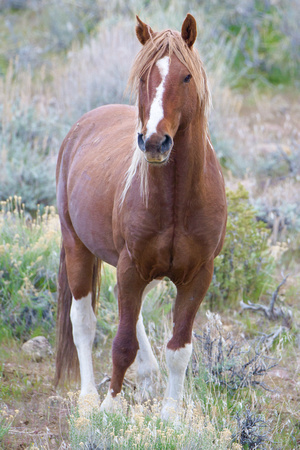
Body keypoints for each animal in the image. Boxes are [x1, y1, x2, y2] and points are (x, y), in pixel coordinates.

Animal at [55, 14, 226, 422]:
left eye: (186, 76)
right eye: (145, 76)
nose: (154, 142)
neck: (178, 201)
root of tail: (83, 124)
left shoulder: (197, 276)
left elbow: (179, 348)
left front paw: (171, 417)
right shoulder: (131, 267)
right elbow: (121, 343)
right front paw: (110, 406)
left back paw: (147, 378)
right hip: (77, 245)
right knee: (83, 322)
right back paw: (88, 399)